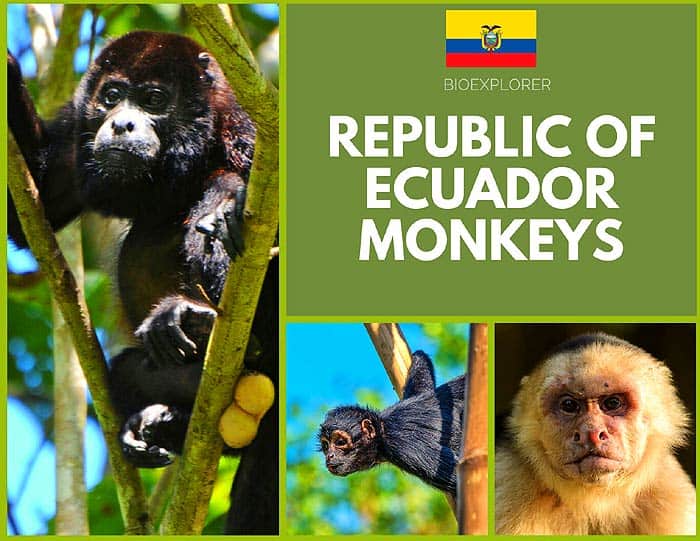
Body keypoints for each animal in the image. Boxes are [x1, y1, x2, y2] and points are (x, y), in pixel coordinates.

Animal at [8, 31, 278, 533]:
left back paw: (199, 316)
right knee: (124, 371)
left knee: (221, 190)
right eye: (111, 96)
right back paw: (160, 421)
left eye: (154, 100)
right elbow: (37, 208)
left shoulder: (252, 126)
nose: (121, 125)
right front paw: (7, 66)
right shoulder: (79, 127)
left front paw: (225, 206)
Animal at [319, 351, 465, 495]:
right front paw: (417, 354)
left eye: (340, 442)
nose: (330, 456)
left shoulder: (403, 447)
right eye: (326, 446)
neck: (384, 428)